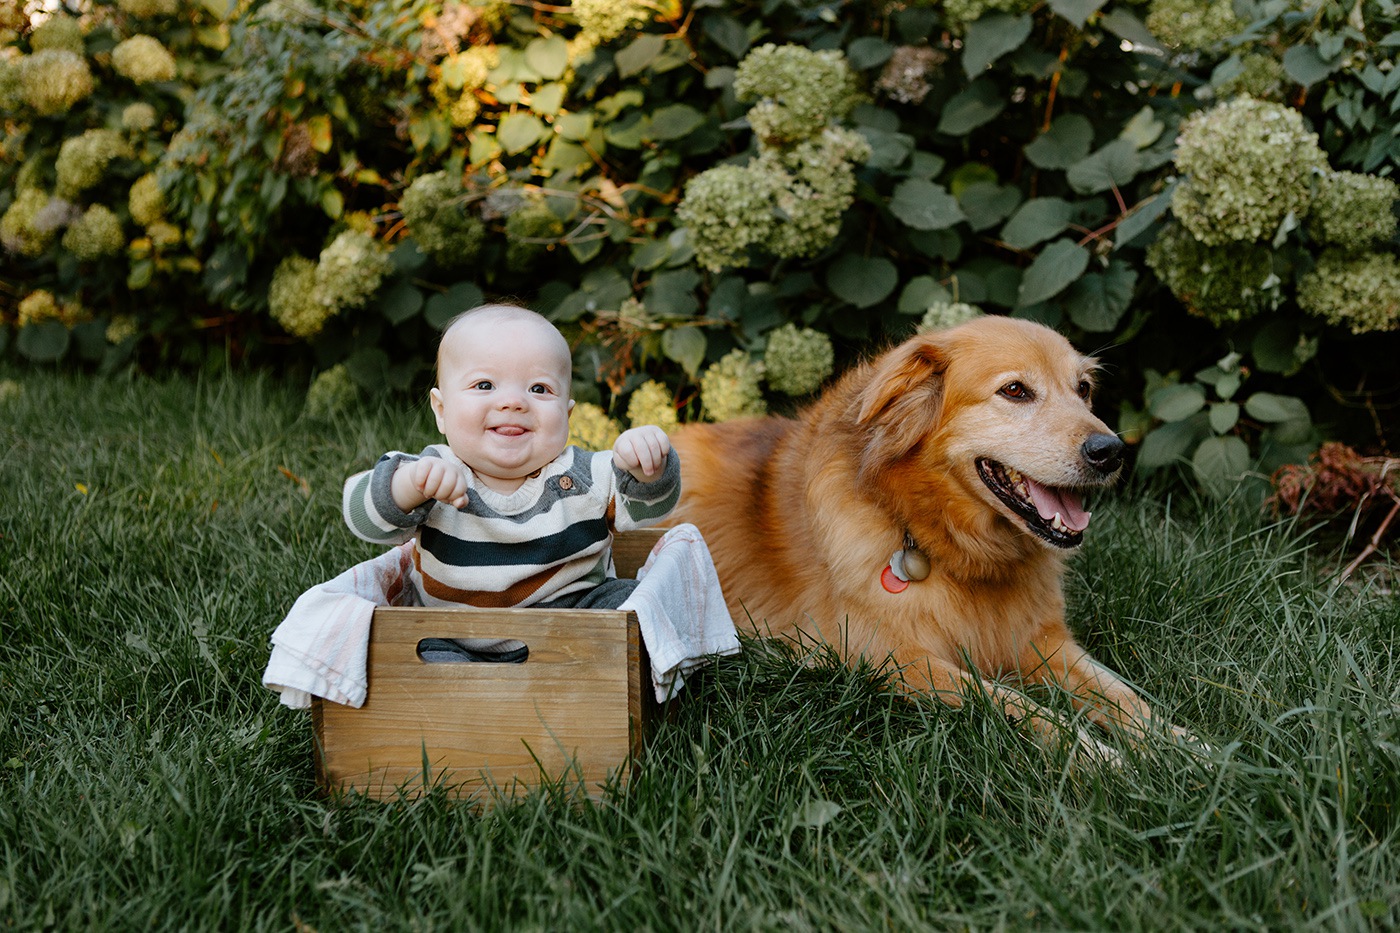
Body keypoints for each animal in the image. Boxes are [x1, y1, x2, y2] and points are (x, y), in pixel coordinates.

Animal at [672, 312, 1176, 756]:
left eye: (1083, 389)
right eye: (1015, 390)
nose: (1111, 451)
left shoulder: (1043, 642)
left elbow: (1129, 700)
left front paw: (1182, 751)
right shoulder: (891, 657)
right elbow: (1017, 704)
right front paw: (1101, 759)